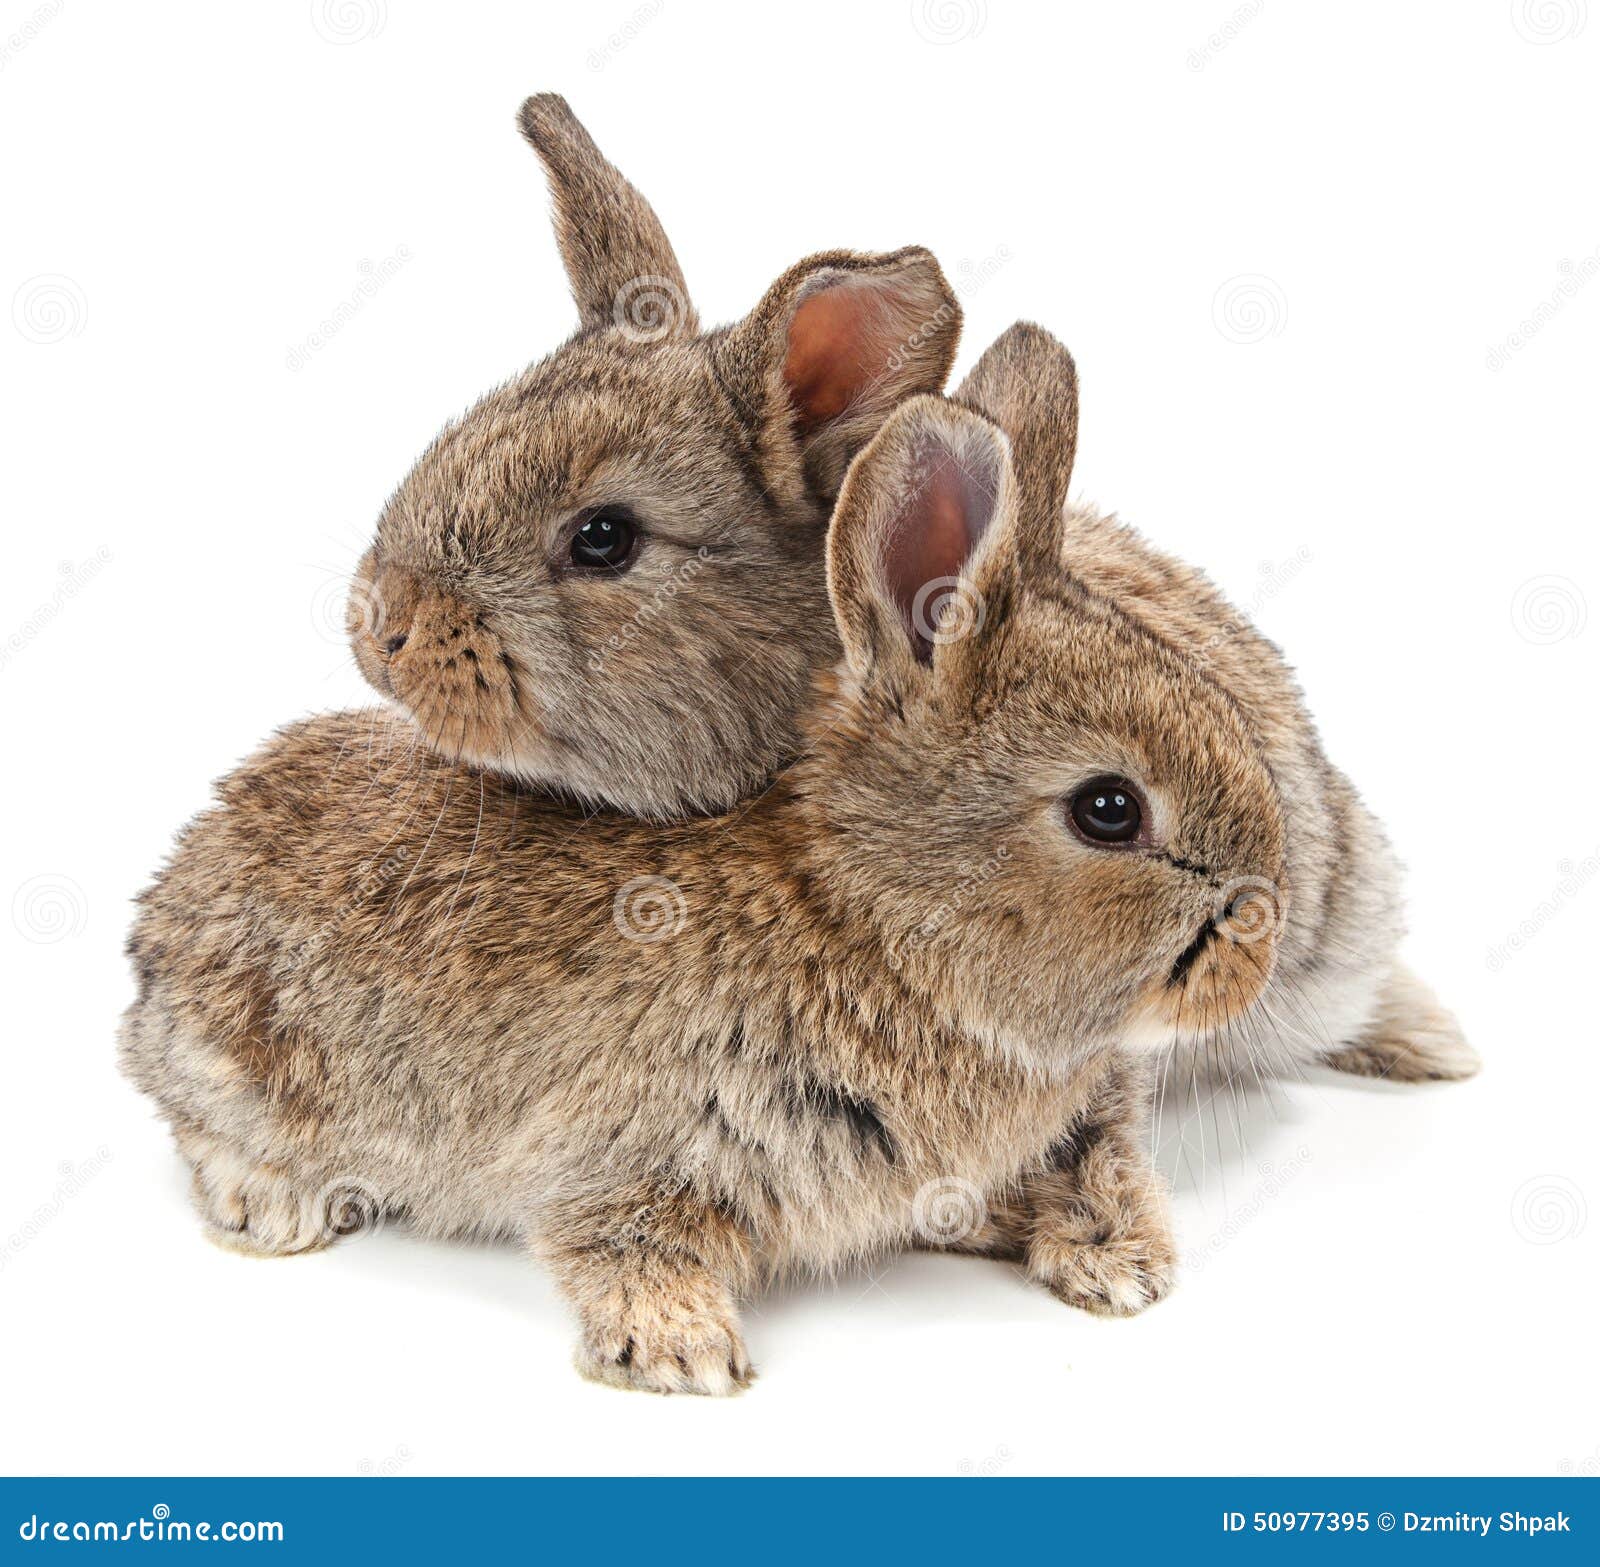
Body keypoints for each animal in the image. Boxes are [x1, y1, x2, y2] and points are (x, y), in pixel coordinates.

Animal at [118, 324, 1302, 1396]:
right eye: (1109, 809)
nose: (1260, 942)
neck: (871, 920)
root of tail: (158, 927)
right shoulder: (638, 1142)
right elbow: (617, 1236)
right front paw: (681, 1353)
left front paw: (1112, 1261)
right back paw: (273, 1205)